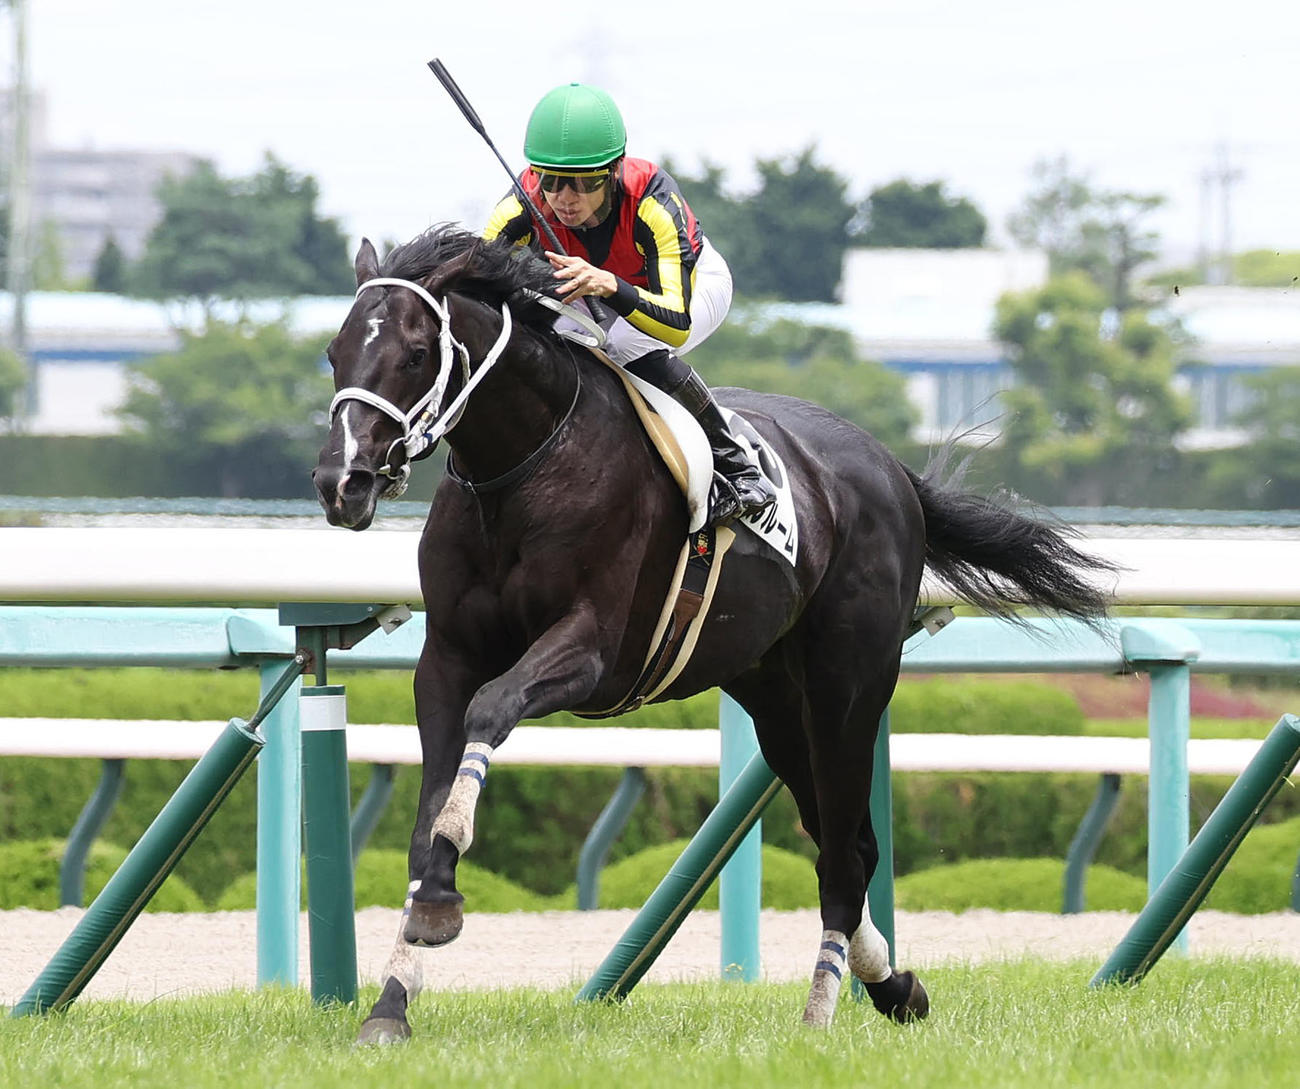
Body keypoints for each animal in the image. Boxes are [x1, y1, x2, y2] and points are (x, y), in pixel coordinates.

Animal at [312, 224, 1113, 1044]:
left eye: (415, 353)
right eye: (335, 352)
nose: (343, 483)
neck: (527, 468)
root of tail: (890, 467)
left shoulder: (594, 649)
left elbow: (492, 710)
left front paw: (438, 909)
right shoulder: (447, 655)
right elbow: (426, 819)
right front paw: (393, 996)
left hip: (847, 688)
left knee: (843, 855)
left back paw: (821, 1010)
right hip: (775, 700)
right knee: (847, 842)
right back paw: (895, 987)